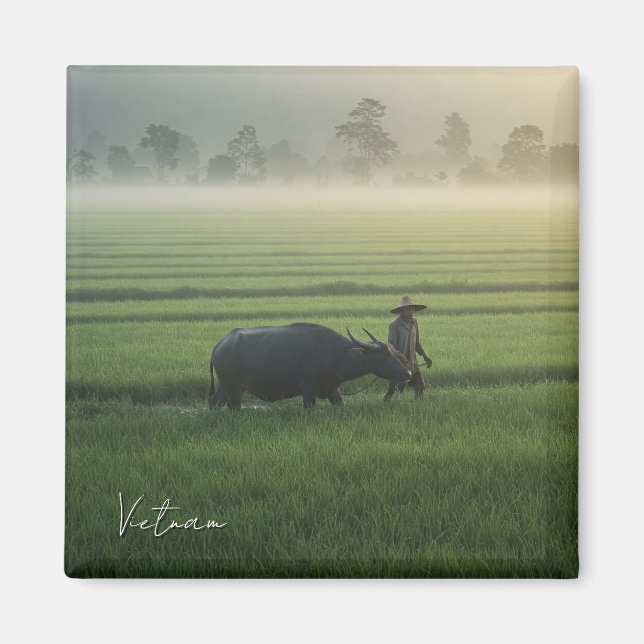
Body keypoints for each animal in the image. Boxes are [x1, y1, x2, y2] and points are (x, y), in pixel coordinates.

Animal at [209, 323, 411, 409]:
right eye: (386, 354)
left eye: (396, 353)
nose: (408, 373)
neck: (336, 355)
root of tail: (219, 345)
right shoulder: (308, 389)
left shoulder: (332, 391)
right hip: (234, 388)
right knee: (232, 406)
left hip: (225, 386)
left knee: (215, 402)